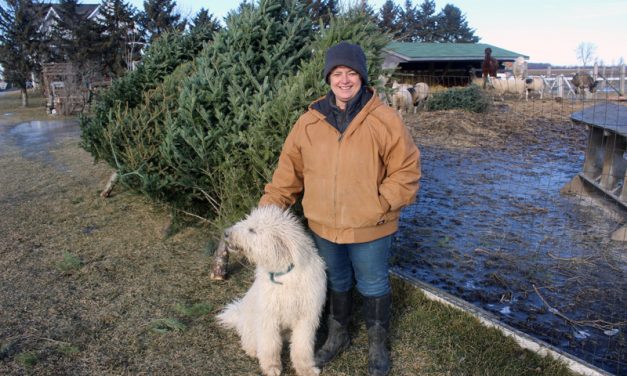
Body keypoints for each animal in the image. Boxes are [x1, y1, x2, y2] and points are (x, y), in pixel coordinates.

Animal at [217, 206, 326, 376]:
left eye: (252, 230)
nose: (226, 232)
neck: (284, 273)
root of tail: (238, 316)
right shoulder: (268, 316)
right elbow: (270, 345)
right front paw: (271, 367)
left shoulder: (306, 317)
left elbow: (302, 346)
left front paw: (305, 368)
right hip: (250, 324)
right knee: (248, 340)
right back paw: (252, 350)